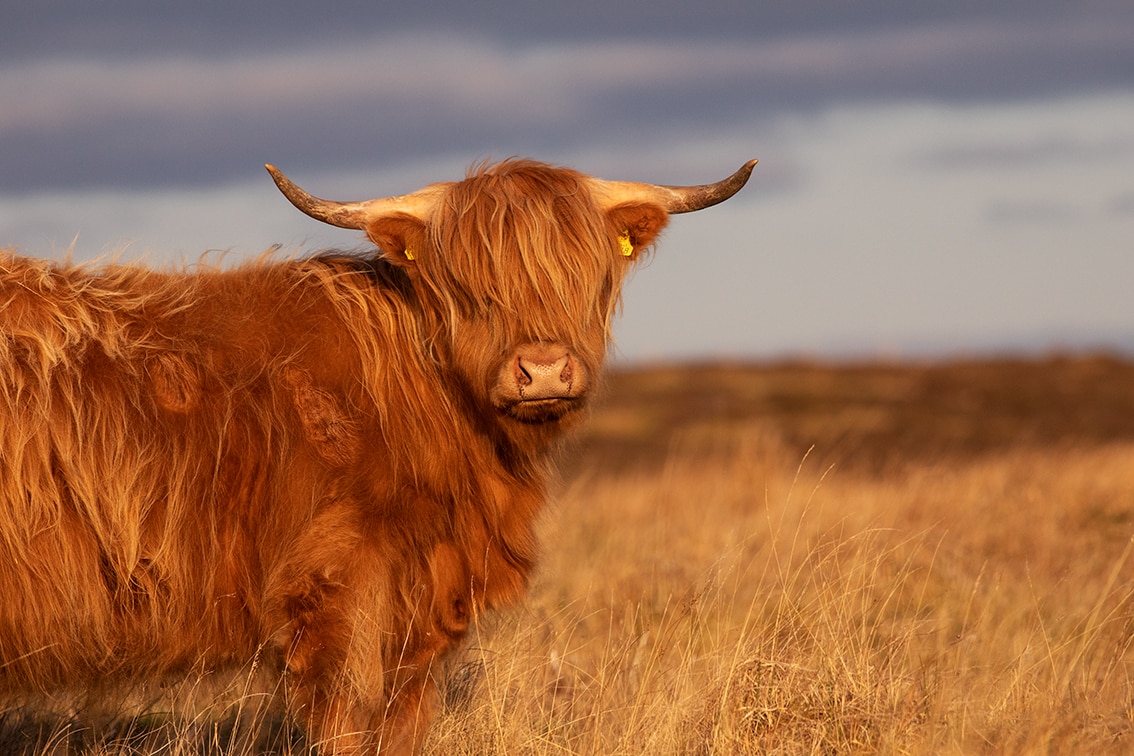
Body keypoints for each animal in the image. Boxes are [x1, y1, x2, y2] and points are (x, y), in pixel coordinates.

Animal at [4, 156, 757, 752]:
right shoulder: (333, 594)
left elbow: (401, 722)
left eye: (582, 277)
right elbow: (349, 720)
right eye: (471, 287)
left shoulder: (415, 618)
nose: (543, 370)